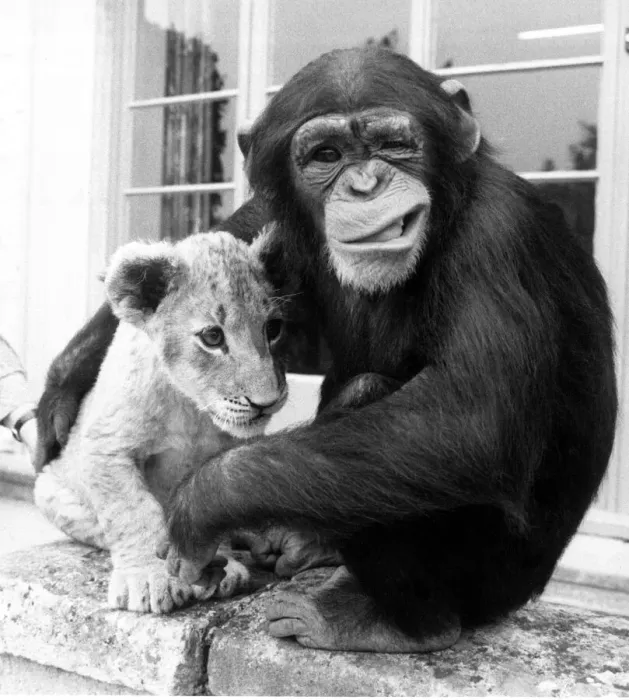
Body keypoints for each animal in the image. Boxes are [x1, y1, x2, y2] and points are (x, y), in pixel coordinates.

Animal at [34, 230, 288, 614]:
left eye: (272, 328)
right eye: (213, 337)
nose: (267, 402)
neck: (191, 409)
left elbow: (210, 503)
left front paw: (221, 566)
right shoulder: (106, 447)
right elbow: (133, 510)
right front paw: (149, 577)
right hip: (47, 487)